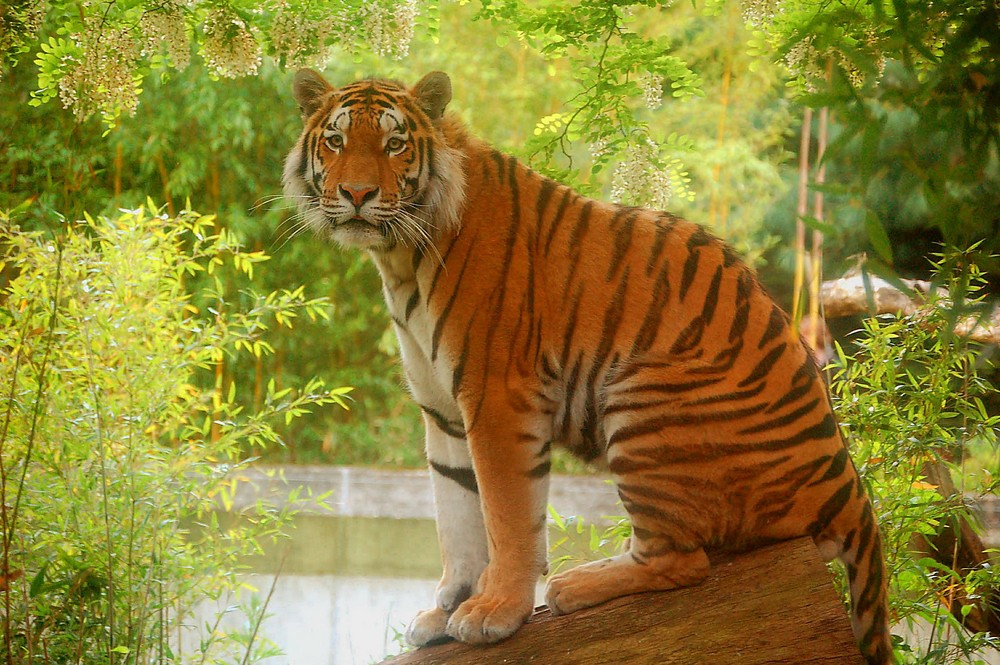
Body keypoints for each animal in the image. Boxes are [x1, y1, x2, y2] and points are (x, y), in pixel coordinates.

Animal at [280, 68, 892, 664]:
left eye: (395, 144)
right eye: (336, 141)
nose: (358, 193)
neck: (400, 258)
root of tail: (848, 485)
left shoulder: (497, 398)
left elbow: (505, 516)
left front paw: (494, 611)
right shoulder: (442, 411)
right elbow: (455, 515)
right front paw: (444, 612)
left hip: (643, 399)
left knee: (683, 560)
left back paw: (575, 585)